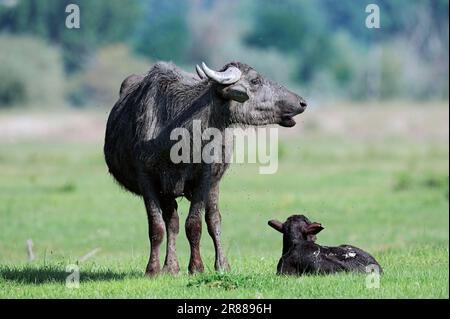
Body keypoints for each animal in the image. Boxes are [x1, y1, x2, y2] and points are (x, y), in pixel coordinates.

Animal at [103, 61, 306, 276]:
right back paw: (171, 266)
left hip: (214, 185)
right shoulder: (148, 181)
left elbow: (195, 224)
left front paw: (197, 267)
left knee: (213, 220)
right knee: (172, 222)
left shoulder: (204, 179)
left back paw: (221, 264)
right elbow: (156, 227)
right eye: (255, 80)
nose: (302, 102)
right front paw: (153, 269)